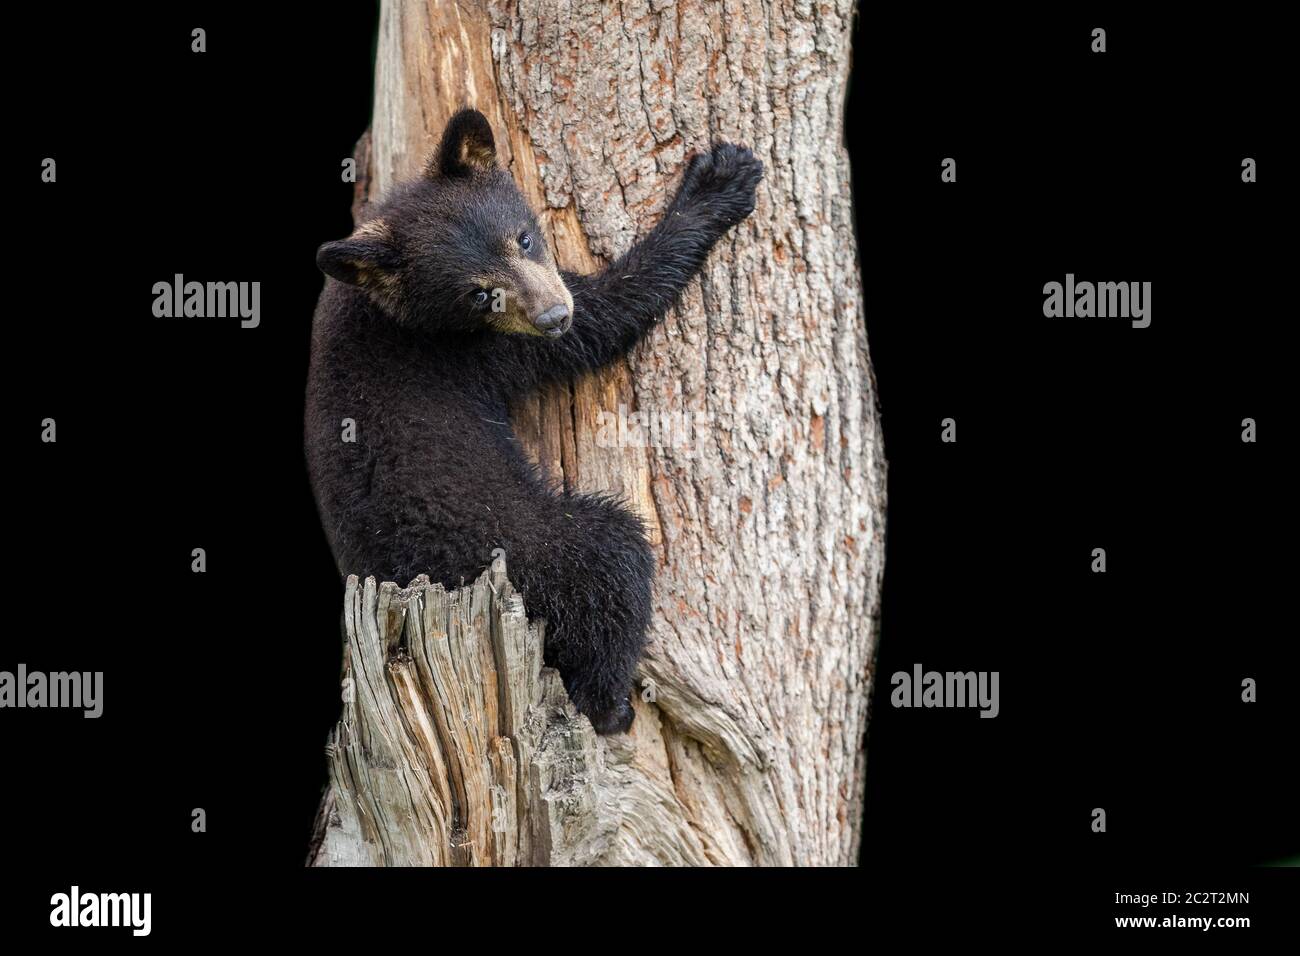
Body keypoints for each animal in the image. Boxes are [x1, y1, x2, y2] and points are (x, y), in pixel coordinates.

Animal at [305, 108, 762, 734]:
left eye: (523, 237)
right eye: (480, 295)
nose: (553, 315)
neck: (380, 304)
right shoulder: (486, 347)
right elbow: (610, 315)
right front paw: (720, 182)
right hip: (532, 552)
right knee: (612, 564)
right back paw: (610, 703)